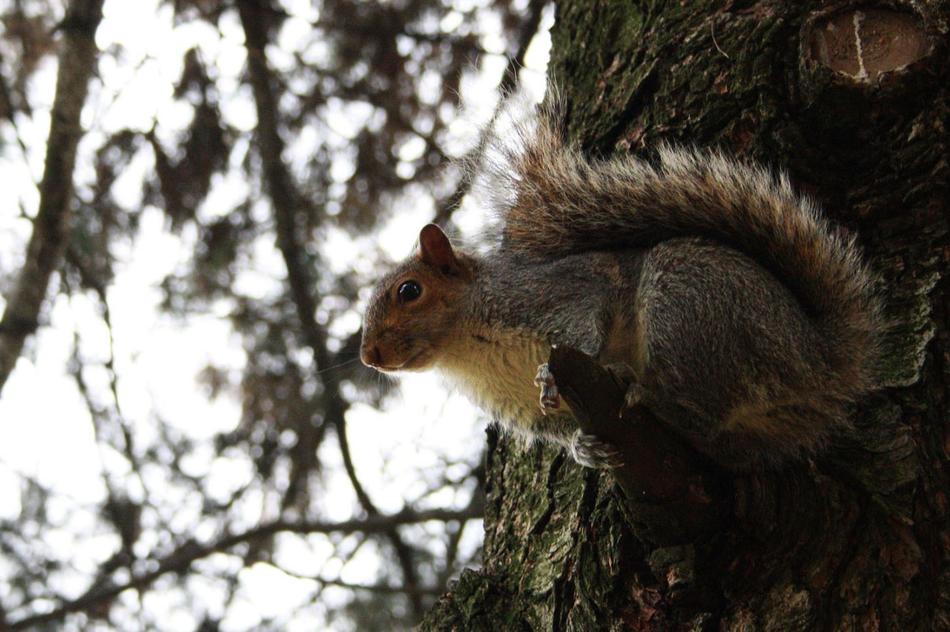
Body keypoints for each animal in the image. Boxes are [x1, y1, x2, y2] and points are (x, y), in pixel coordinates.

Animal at [359, 105, 883, 470]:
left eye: (409, 291)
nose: (370, 356)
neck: (467, 348)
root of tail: (817, 355)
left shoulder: (553, 295)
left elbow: (584, 324)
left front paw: (552, 375)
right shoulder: (524, 410)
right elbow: (562, 429)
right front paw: (584, 448)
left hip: (690, 303)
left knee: (696, 405)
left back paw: (643, 389)